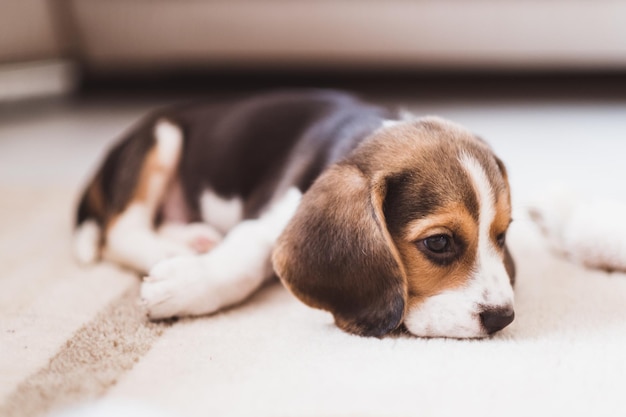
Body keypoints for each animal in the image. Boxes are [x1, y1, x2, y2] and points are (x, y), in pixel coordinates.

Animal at [73, 90, 516, 338]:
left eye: (502, 235)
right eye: (438, 243)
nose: (503, 318)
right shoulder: (276, 208)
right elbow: (248, 256)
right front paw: (186, 284)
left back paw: (195, 239)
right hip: (162, 139)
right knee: (120, 229)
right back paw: (172, 254)